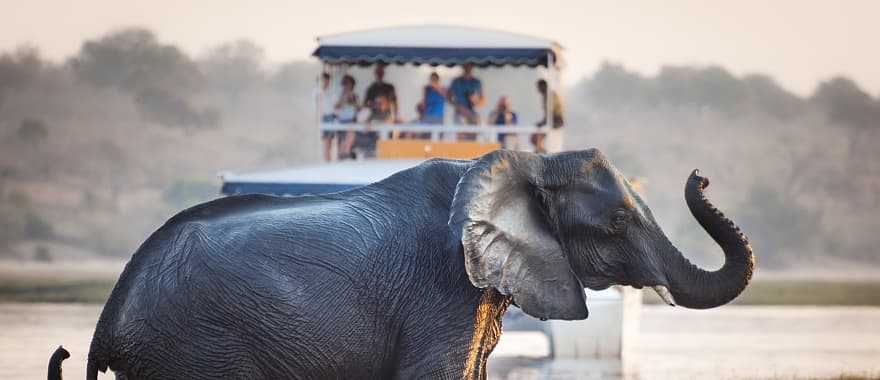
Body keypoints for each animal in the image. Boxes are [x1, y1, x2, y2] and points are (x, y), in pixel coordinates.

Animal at [51, 148, 748, 380]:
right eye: (618, 223)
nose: (702, 175)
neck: (524, 162)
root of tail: (107, 319)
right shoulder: (440, 290)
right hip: (196, 346)